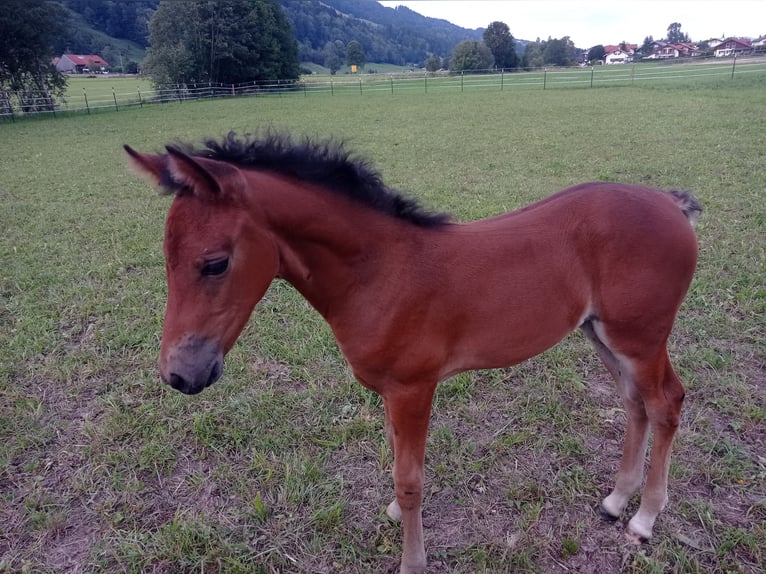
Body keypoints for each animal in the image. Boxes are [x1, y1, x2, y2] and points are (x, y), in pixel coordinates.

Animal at [124, 133, 704, 572]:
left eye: (215, 263)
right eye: (165, 257)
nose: (179, 374)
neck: (380, 272)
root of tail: (669, 202)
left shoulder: (413, 388)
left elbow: (411, 481)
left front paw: (412, 559)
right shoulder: (388, 392)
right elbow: (397, 459)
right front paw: (394, 516)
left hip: (641, 337)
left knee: (666, 403)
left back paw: (644, 519)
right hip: (601, 334)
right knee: (634, 402)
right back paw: (615, 500)